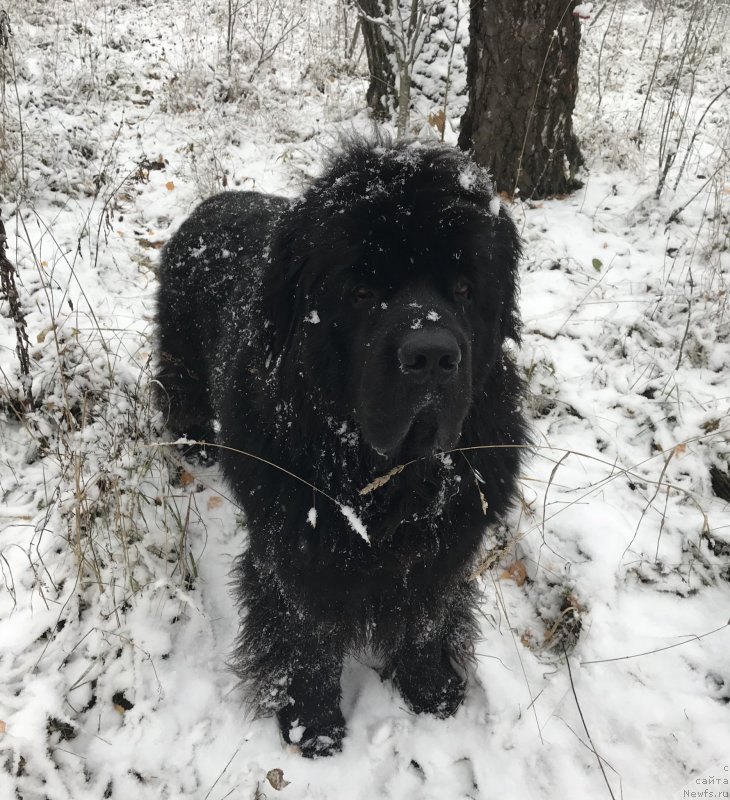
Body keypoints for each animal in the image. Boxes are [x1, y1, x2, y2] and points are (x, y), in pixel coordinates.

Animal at [156, 141, 528, 760]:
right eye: (361, 293)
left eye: (464, 289)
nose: (431, 355)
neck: (388, 476)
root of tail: (213, 201)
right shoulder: (297, 548)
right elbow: (309, 634)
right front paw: (313, 725)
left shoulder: (446, 544)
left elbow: (426, 617)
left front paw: (431, 690)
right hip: (179, 350)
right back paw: (195, 444)